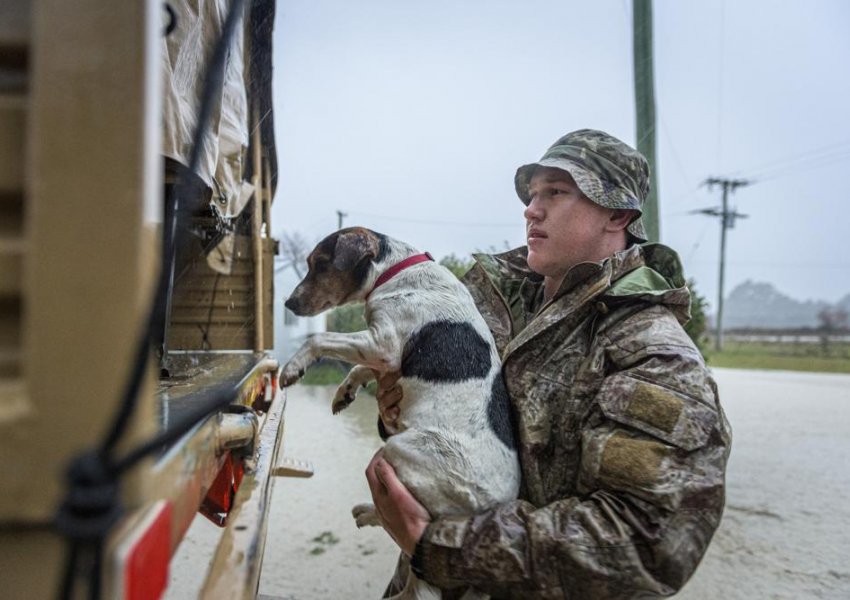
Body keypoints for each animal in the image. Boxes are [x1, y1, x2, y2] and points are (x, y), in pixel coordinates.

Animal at [280, 227, 516, 596]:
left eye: (319, 263)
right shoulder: (382, 357)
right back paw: (366, 511)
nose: (288, 304)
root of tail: (492, 510)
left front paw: (293, 368)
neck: (396, 271)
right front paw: (345, 393)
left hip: (399, 451)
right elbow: (360, 369)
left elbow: (319, 339)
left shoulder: (384, 344)